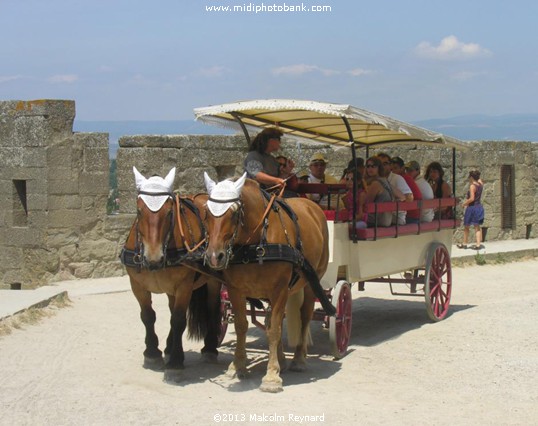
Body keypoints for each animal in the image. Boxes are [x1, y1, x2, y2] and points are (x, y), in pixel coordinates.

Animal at [120, 167, 221, 382]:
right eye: (139, 211)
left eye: (168, 212)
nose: (153, 258)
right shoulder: (137, 285)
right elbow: (148, 315)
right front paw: (152, 352)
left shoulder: (184, 286)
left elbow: (178, 320)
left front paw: (175, 362)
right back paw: (168, 347)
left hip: (213, 280)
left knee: (211, 307)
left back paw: (209, 347)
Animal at [200, 173, 326, 392]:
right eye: (207, 211)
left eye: (234, 213)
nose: (215, 256)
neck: (255, 242)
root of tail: (312, 206)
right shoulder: (236, 290)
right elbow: (242, 326)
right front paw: (238, 366)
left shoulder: (279, 290)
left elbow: (274, 330)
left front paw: (272, 376)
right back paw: (283, 358)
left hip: (311, 282)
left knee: (304, 316)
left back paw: (298, 359)